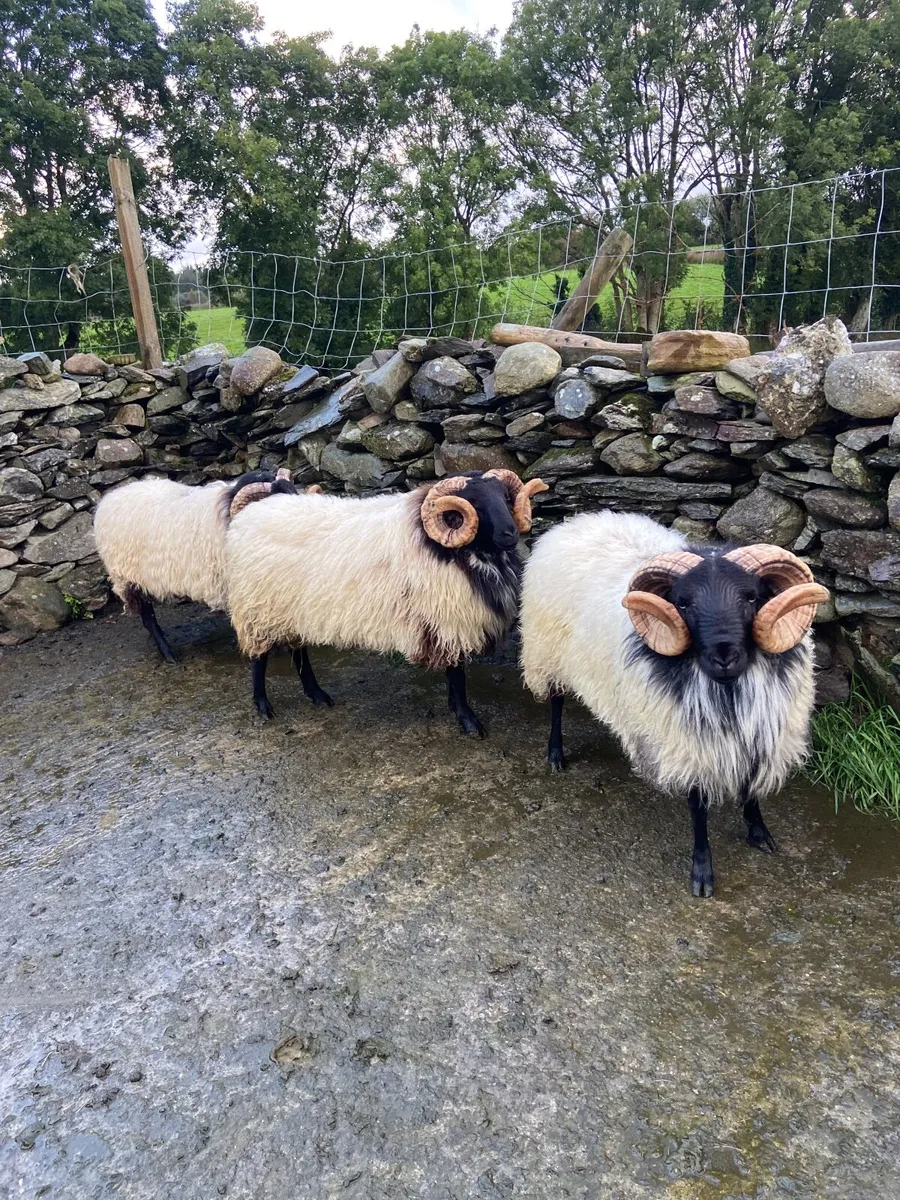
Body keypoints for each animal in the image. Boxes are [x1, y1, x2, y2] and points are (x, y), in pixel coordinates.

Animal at [225, 469, 548, 734]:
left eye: (505, 497)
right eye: (475, 503)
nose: (510, 534)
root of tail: (257, 508)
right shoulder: (448, 620)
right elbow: (458, 676)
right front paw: (468, 721)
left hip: (290, 608)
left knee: (299, 652)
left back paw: (317, 695)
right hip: (257, 607)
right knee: (259, 658)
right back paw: (263, 705)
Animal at [520, 510, 829, 897]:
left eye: (751, 597)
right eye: (683, 602)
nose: (724, 656)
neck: (727, 692)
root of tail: (576, 521)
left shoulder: (758, 734)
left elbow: (751, 789)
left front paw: (759, 832)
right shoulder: (684, 744)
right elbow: (698, 809)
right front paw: (702, 873)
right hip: (547, 652)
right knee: (557, 702)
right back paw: (556, 753)